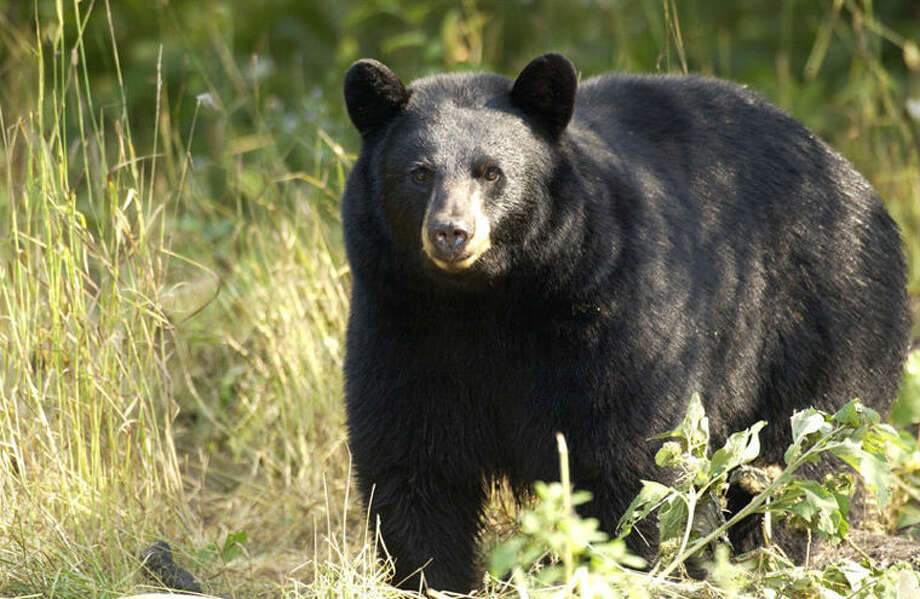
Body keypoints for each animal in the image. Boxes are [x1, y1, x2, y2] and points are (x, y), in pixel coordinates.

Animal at [340, 52, 910, 592]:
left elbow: (631, 451)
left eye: (491, 172)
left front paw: (627, 563)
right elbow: (412, 457)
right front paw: (430, 577)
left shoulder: (616, 309)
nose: (451, 232)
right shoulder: (402, 323)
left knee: (801, 454)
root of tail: (851, 175)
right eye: (419, 172)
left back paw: (768, 550)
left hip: (825, 320)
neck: (489, 300)